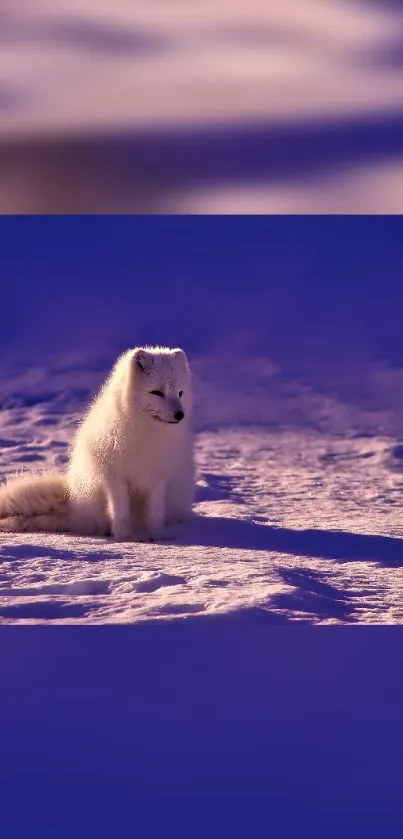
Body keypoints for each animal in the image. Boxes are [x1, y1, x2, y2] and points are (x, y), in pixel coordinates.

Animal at [0, 344, 196, 540]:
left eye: (180, 393)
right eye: (157, 392)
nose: (180, 415)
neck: (146, 433)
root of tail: (73, 504)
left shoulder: (158, 477)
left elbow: (155, 513)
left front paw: (155, 536)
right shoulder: (114, 476)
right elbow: (120, 511)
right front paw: (123, 537)